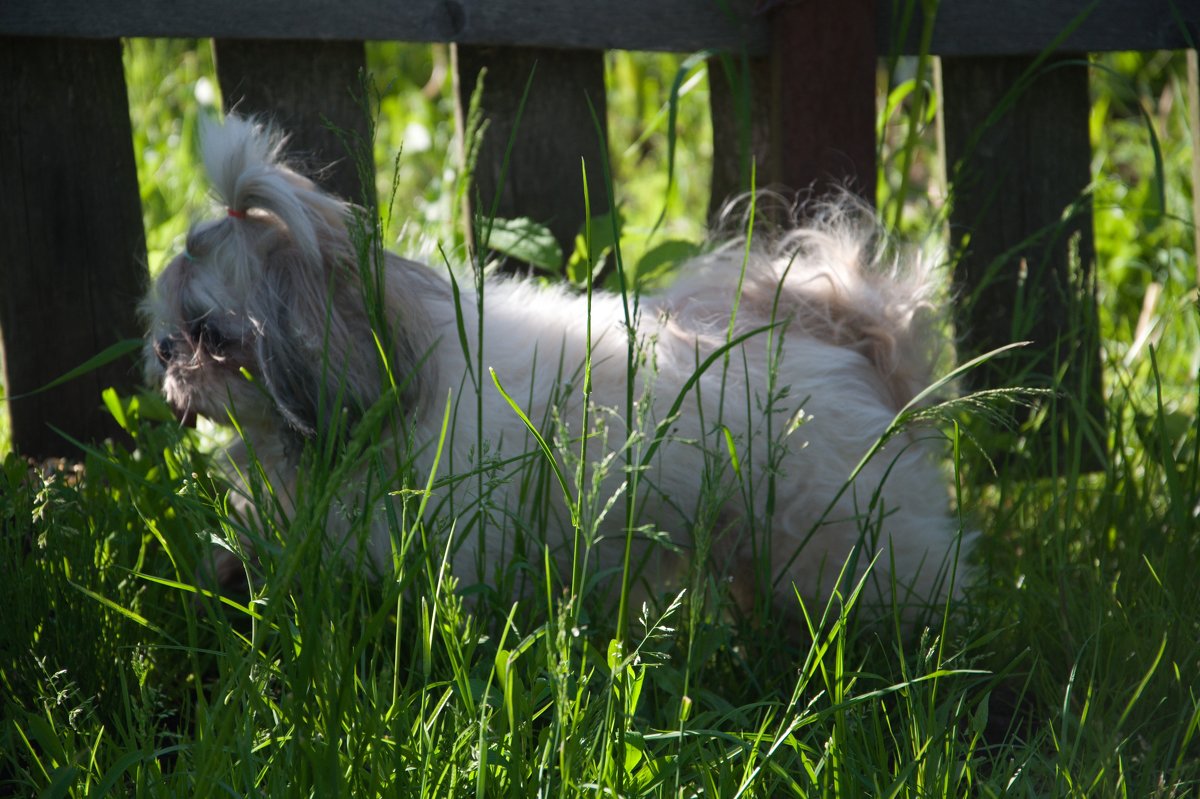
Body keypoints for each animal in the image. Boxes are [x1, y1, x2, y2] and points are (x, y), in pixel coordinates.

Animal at [142, 115, 964, 619]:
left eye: (214, 335)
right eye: (170, 328)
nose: (167, 356)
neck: (399, 376)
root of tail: (852, 334)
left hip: (844, 542)